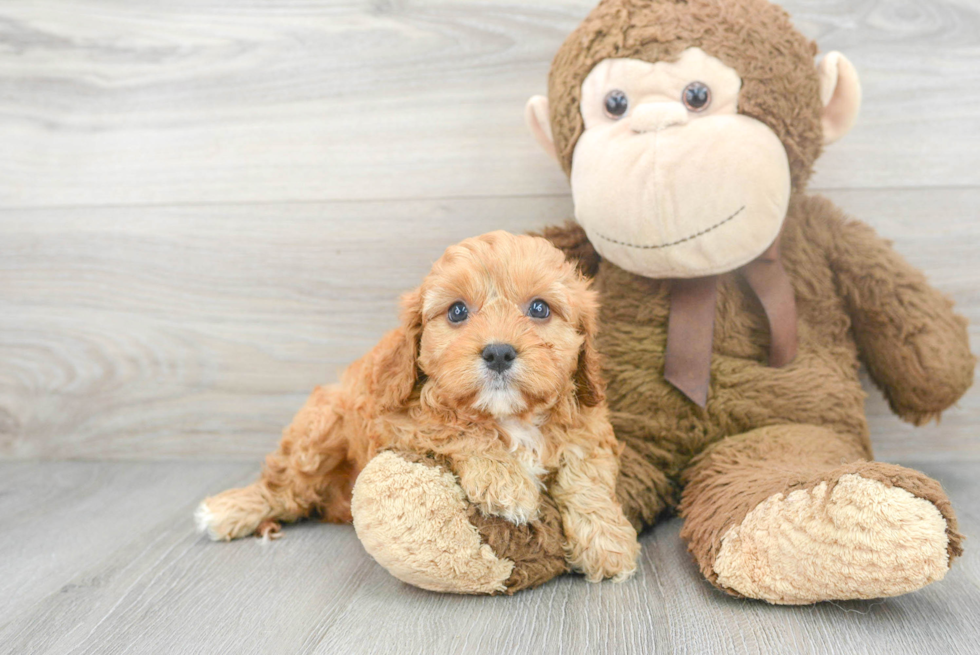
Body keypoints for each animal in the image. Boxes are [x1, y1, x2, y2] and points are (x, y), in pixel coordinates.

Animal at [199, 231, 644, 584]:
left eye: (539, 308)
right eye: (457, 311)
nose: (498, 353)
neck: (509, 415)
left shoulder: (587, 424)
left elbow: (586, 477)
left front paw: (608, 543)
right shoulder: (396, 417)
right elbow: (458, 427)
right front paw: (505, 480)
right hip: (321, 427)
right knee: (285, 487)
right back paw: (230, 510)